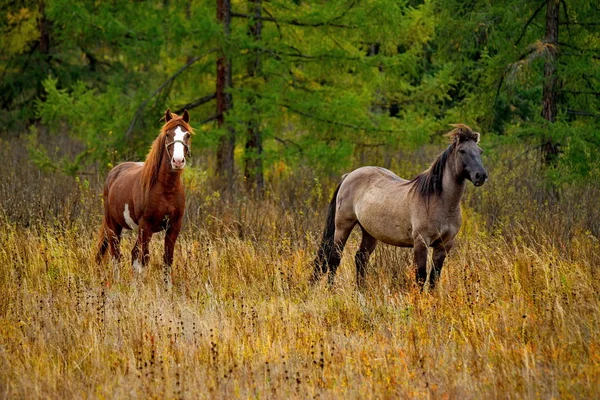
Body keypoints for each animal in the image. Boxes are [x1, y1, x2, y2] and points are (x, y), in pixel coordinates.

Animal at [96, 108, 192, 280]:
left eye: (187, 135)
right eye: (168, 134)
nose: (178, 161)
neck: (166, 189)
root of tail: (114, 172)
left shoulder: (174, 226)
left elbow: (167, 259)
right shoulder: (146, 225)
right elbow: (145, 259)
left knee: (132, 255)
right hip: (114, 225)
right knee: (116, 255)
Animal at [314, 125, 488, 290]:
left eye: (480, 151)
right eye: (462, 151)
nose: (481, 175)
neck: (439, 201)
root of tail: (349, 175)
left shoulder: (444, 245)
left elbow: (434, 278)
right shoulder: (421, 242)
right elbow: (421, 276)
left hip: (369, 232)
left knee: (360, 258)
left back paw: (360, 291)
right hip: (343, 226)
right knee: (334, 259)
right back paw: (331, 290)